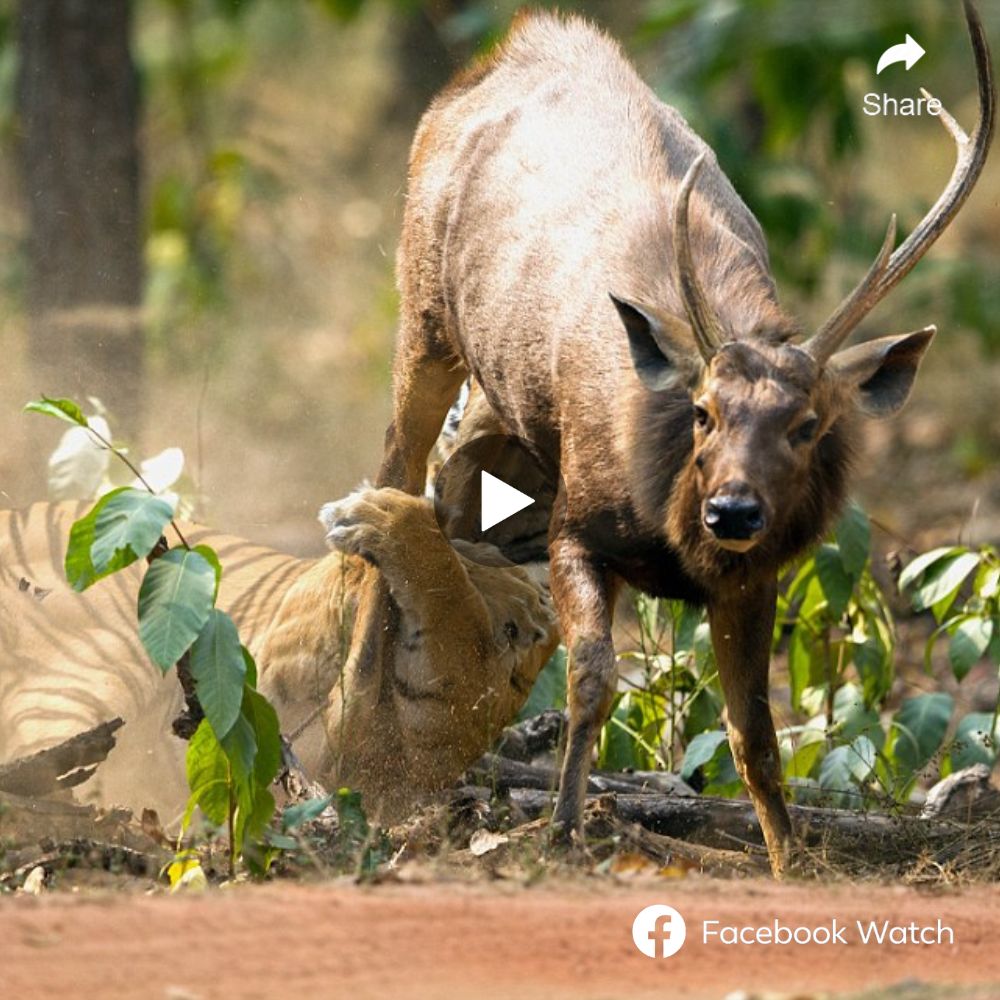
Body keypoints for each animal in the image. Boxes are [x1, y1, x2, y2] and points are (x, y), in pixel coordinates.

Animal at [376, 1, 992, 876]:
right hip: (423, 312)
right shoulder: (577, 525)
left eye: (808, 424)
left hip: (495, 414)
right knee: (393, 474)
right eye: (703, 411)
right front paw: (562, 832)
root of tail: (518, 40)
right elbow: (592, 680)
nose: (732, 511)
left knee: (455, 501)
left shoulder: (754, 576)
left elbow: (754, 735)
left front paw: (790, 862)